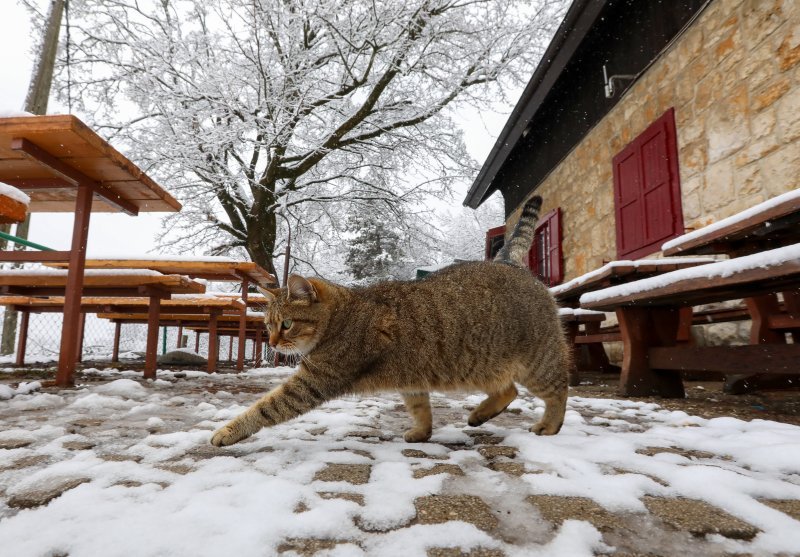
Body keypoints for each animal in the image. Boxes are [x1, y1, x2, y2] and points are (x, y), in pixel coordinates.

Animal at [209, 197, 572, 448]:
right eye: (268, 326)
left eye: (285, 325)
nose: (271, 343)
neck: (343, 315)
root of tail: (510, 262)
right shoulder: (411, 378)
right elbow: (420, 407)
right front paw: (422, 432)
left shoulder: (313, 381)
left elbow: (266, 408)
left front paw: (228, 431)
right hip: (481, 364)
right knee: (508, 389)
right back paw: (479, 414)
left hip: (536, 362)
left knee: (558, 390)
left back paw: (549, 425)